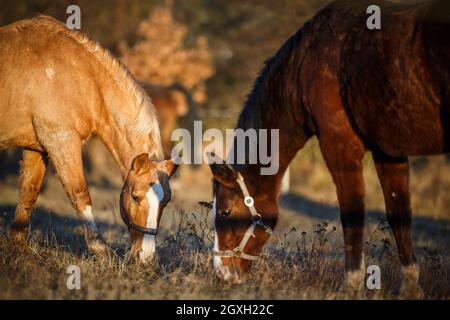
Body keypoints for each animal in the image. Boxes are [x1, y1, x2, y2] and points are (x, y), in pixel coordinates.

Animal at [0, 16, 179, 262]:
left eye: (166, 201)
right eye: (135, 197)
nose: (146, 256)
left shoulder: (37, 147)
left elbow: (29, 192)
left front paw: (17, 249)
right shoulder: (61, 140)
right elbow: (80, 194)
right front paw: (101, 250)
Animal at [209, 0, 448, 298]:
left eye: (225, 212)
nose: (221, 272)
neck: (303, 66)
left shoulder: (340, 146)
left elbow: (352, 214)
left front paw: (351, 286)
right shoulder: (389, 151)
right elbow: (399, 215)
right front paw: (411, 289)